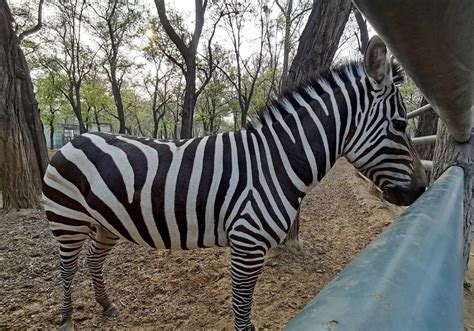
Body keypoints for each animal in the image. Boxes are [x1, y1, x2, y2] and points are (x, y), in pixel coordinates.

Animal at [42, 36, 428, 331]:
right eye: (400, 124)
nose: (422, 190)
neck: (276, 161)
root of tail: (77, 138)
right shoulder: (247, 243)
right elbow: (242, 308)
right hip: (68, 219)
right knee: (66, 269)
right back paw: (66, 319)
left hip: (108, 221)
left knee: (93, 259)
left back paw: (106, 305)